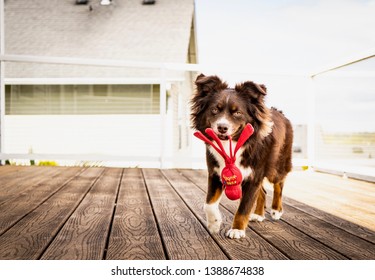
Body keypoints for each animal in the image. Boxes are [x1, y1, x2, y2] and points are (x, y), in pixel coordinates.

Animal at [191, 74, 294, 238]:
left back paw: (276, 210)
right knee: (263, 191)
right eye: (215, 110)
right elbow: (208, 204)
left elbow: (244, 207)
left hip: (275, 166)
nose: (222, 127)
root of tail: (279, 112)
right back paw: (258, 214)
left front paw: (237, 230)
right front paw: (214, 223)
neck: (232, 144)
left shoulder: (253, 176)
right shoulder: (215, 173)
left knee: (279, 183)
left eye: (237, 112)